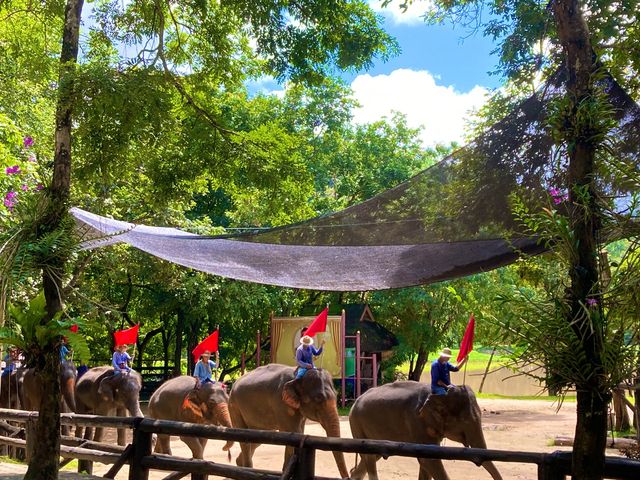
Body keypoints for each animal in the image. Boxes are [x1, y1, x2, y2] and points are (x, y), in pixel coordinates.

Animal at [348, 382, 502, 480]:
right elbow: (429, 460)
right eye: (465, 421)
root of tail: (356, 400)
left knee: (373, 456)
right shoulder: (417, 422)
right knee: (369, 458)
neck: (440, 393)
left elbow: (425, 459)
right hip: (357, 424)